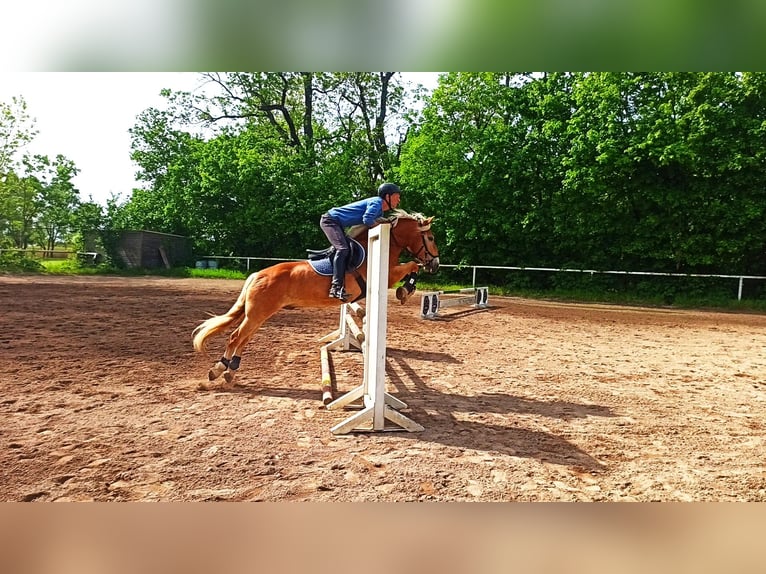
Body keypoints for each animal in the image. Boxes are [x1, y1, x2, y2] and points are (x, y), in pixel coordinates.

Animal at [192, 212, 440, 392]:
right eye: (430, 238)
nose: (436, 264)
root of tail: (257, 275)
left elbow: (412, 266)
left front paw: (406, 290)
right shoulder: (387, 276)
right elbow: (412, 265)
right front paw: (405, 291)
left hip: (260, 314)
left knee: (244, 339)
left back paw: (229, 372)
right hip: (257, 314)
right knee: (236, 337)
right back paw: (217, 370)